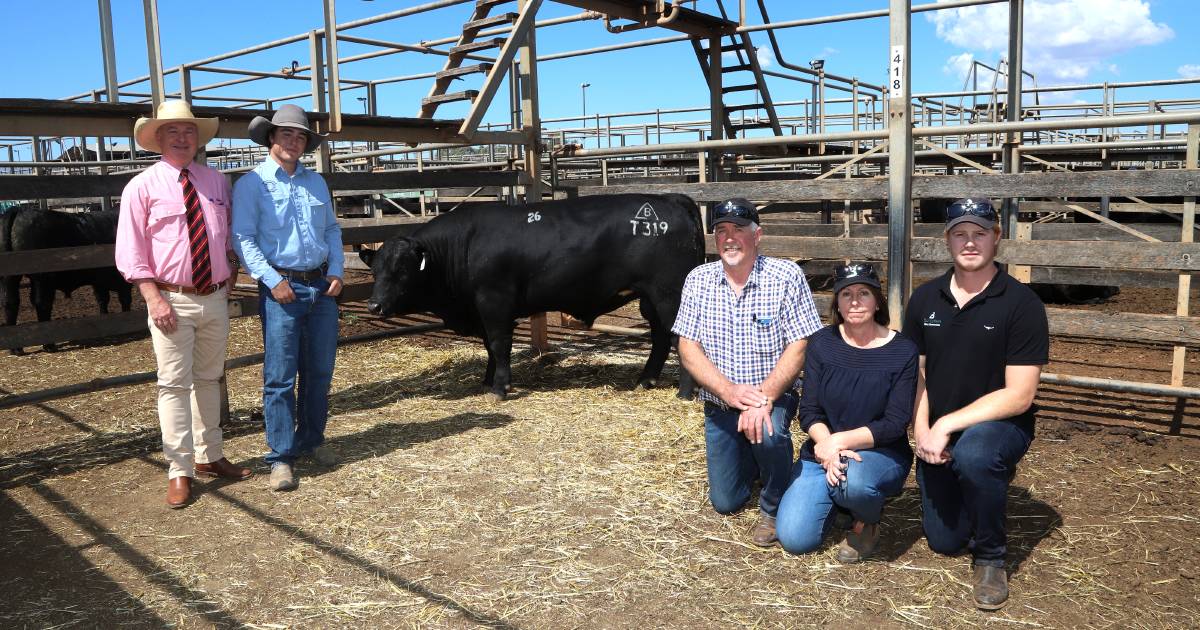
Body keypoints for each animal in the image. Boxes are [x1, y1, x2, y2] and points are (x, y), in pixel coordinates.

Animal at [0, 206, 133, 352]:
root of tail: (19, 209)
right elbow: (124, 300)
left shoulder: (98, 281)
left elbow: (103, 300)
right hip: (42, 277)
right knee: (42, 303)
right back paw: (48, 345)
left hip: (10, 277)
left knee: (10, 302)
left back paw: (16, 349)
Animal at [360, 193, 705, 398]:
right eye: (375, 271)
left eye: (402, 270)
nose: (375, 305)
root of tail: (669, 199)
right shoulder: (482, 309)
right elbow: (489, 346)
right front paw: (488, 380)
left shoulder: (494, 301)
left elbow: (499, 344)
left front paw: (500, 387)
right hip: (650, 300)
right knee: (660, 339)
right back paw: (645, 380)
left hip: (669, 296)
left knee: (679, 340)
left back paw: (683, 392)